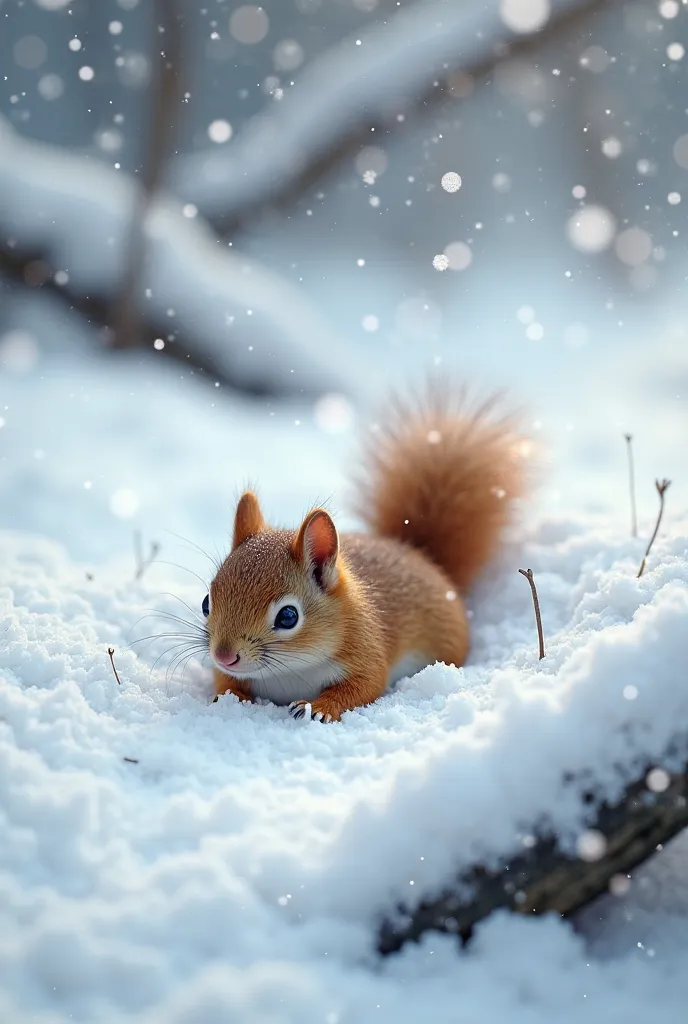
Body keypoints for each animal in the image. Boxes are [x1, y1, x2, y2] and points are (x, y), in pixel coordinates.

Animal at [205, 380, 528, 724]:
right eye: (206, 602)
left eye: (288, 616)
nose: (224, 655)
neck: (290, 670)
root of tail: (422, 557)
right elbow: (224, 680)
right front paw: (228, 697)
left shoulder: (366, 653)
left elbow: (364, 686)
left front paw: (317, 708)